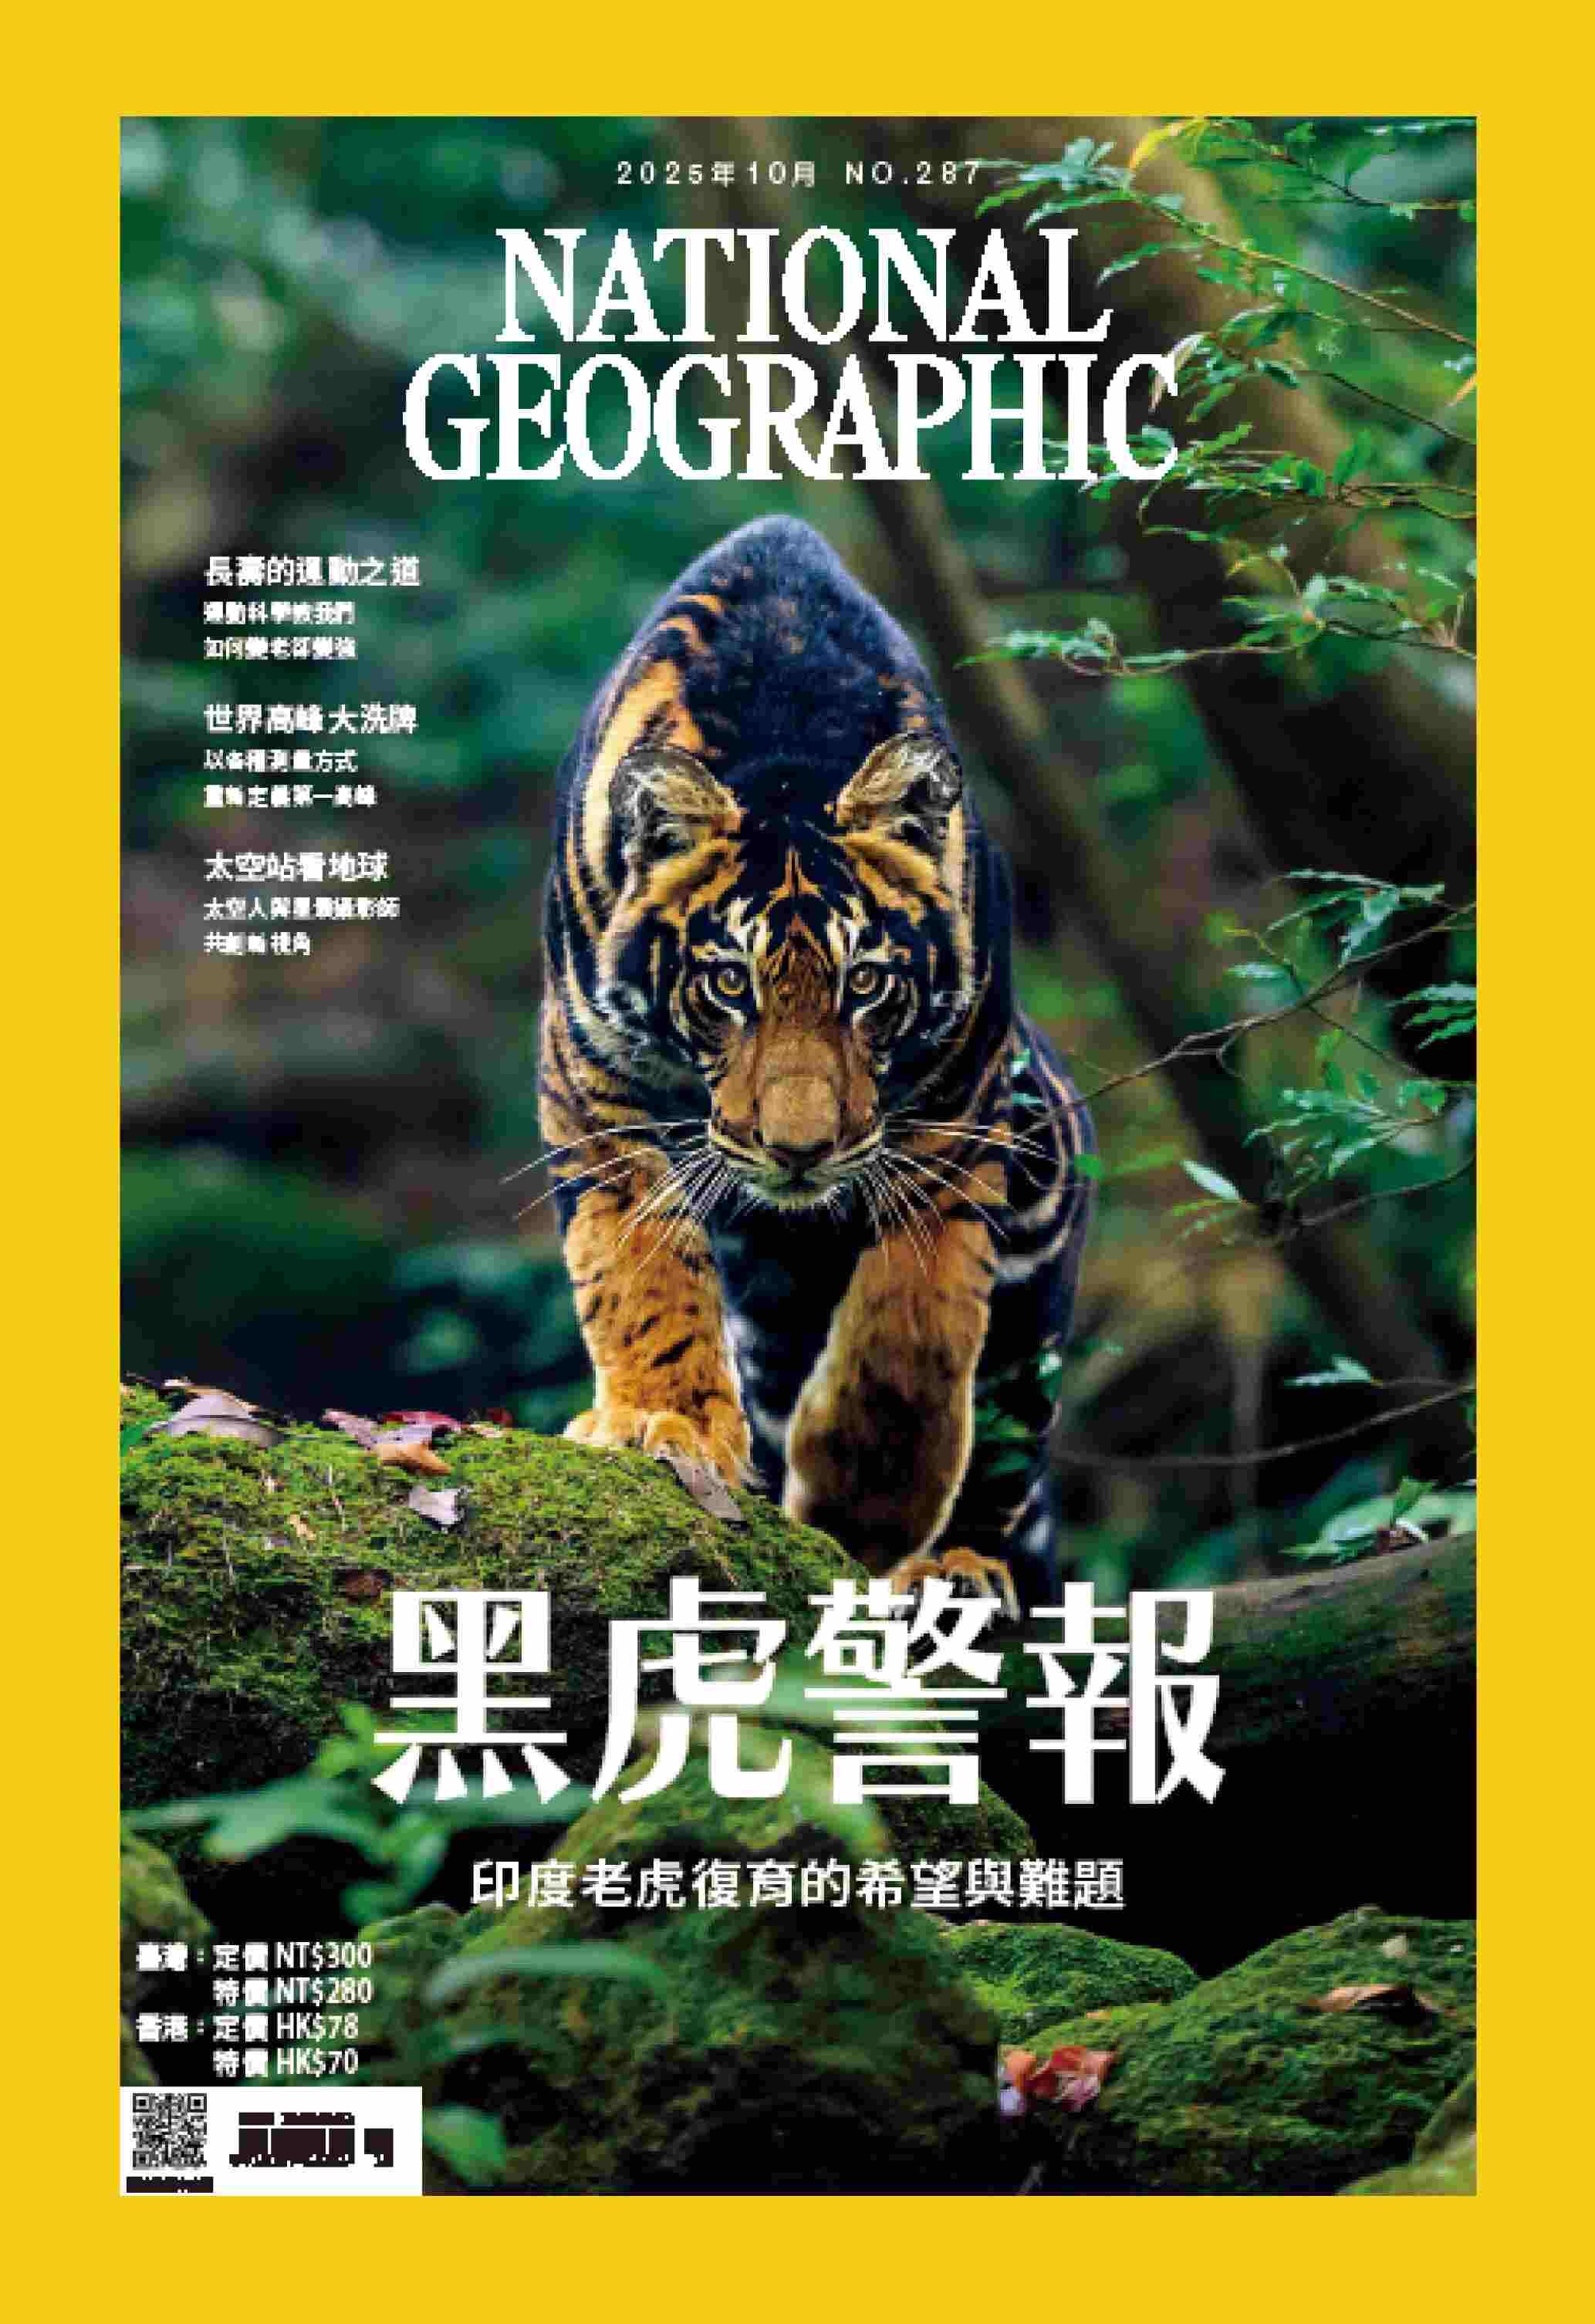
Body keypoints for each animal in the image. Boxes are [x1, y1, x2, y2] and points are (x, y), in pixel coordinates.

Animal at [538, 515, 1093, 1614]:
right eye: (728, 986)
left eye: (866, 985)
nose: (798, 1150)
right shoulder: (593, 1084)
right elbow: (640, 1271)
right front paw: (664, 1424)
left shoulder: (957, 1110)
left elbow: (915, 1322)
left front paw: (868, 1500)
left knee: (1006, 1436)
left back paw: (959, 1567)